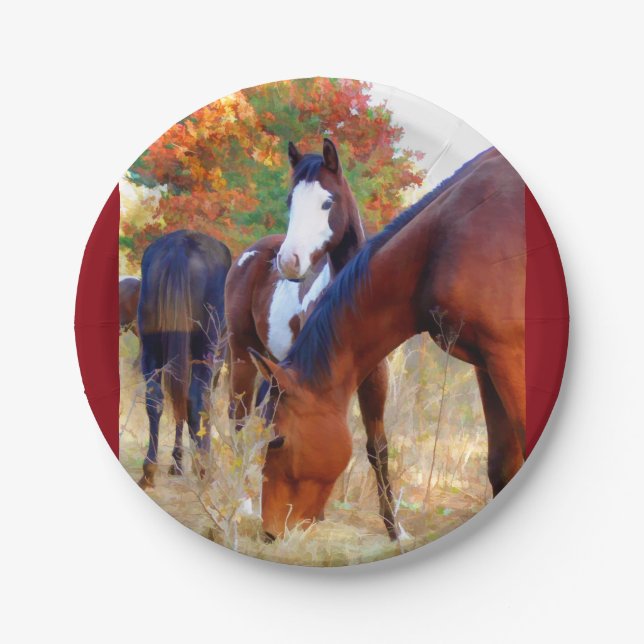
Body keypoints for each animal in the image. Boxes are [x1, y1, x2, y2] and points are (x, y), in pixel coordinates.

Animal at [137, 230, 231, 489]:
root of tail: (180, 245)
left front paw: (176, 463)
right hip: (205, 348)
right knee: (196, 399)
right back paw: (202, 468)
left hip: (151, 347)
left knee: (156, 399)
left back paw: (149, 471)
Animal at [225, 139, 397, 538]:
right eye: (291, 200)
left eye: (327, 201)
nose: (289, 262)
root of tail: (252, 253)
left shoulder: (373, 378)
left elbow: (377, 447)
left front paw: (395, 529)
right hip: (242, 355)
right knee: (238, 418)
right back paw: (242, 503)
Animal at [248, 148, 549, 539]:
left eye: (279, 440)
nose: (270, 532)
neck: (444, 243)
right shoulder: (488, 365)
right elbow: (502, 467)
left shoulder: (509, 357)